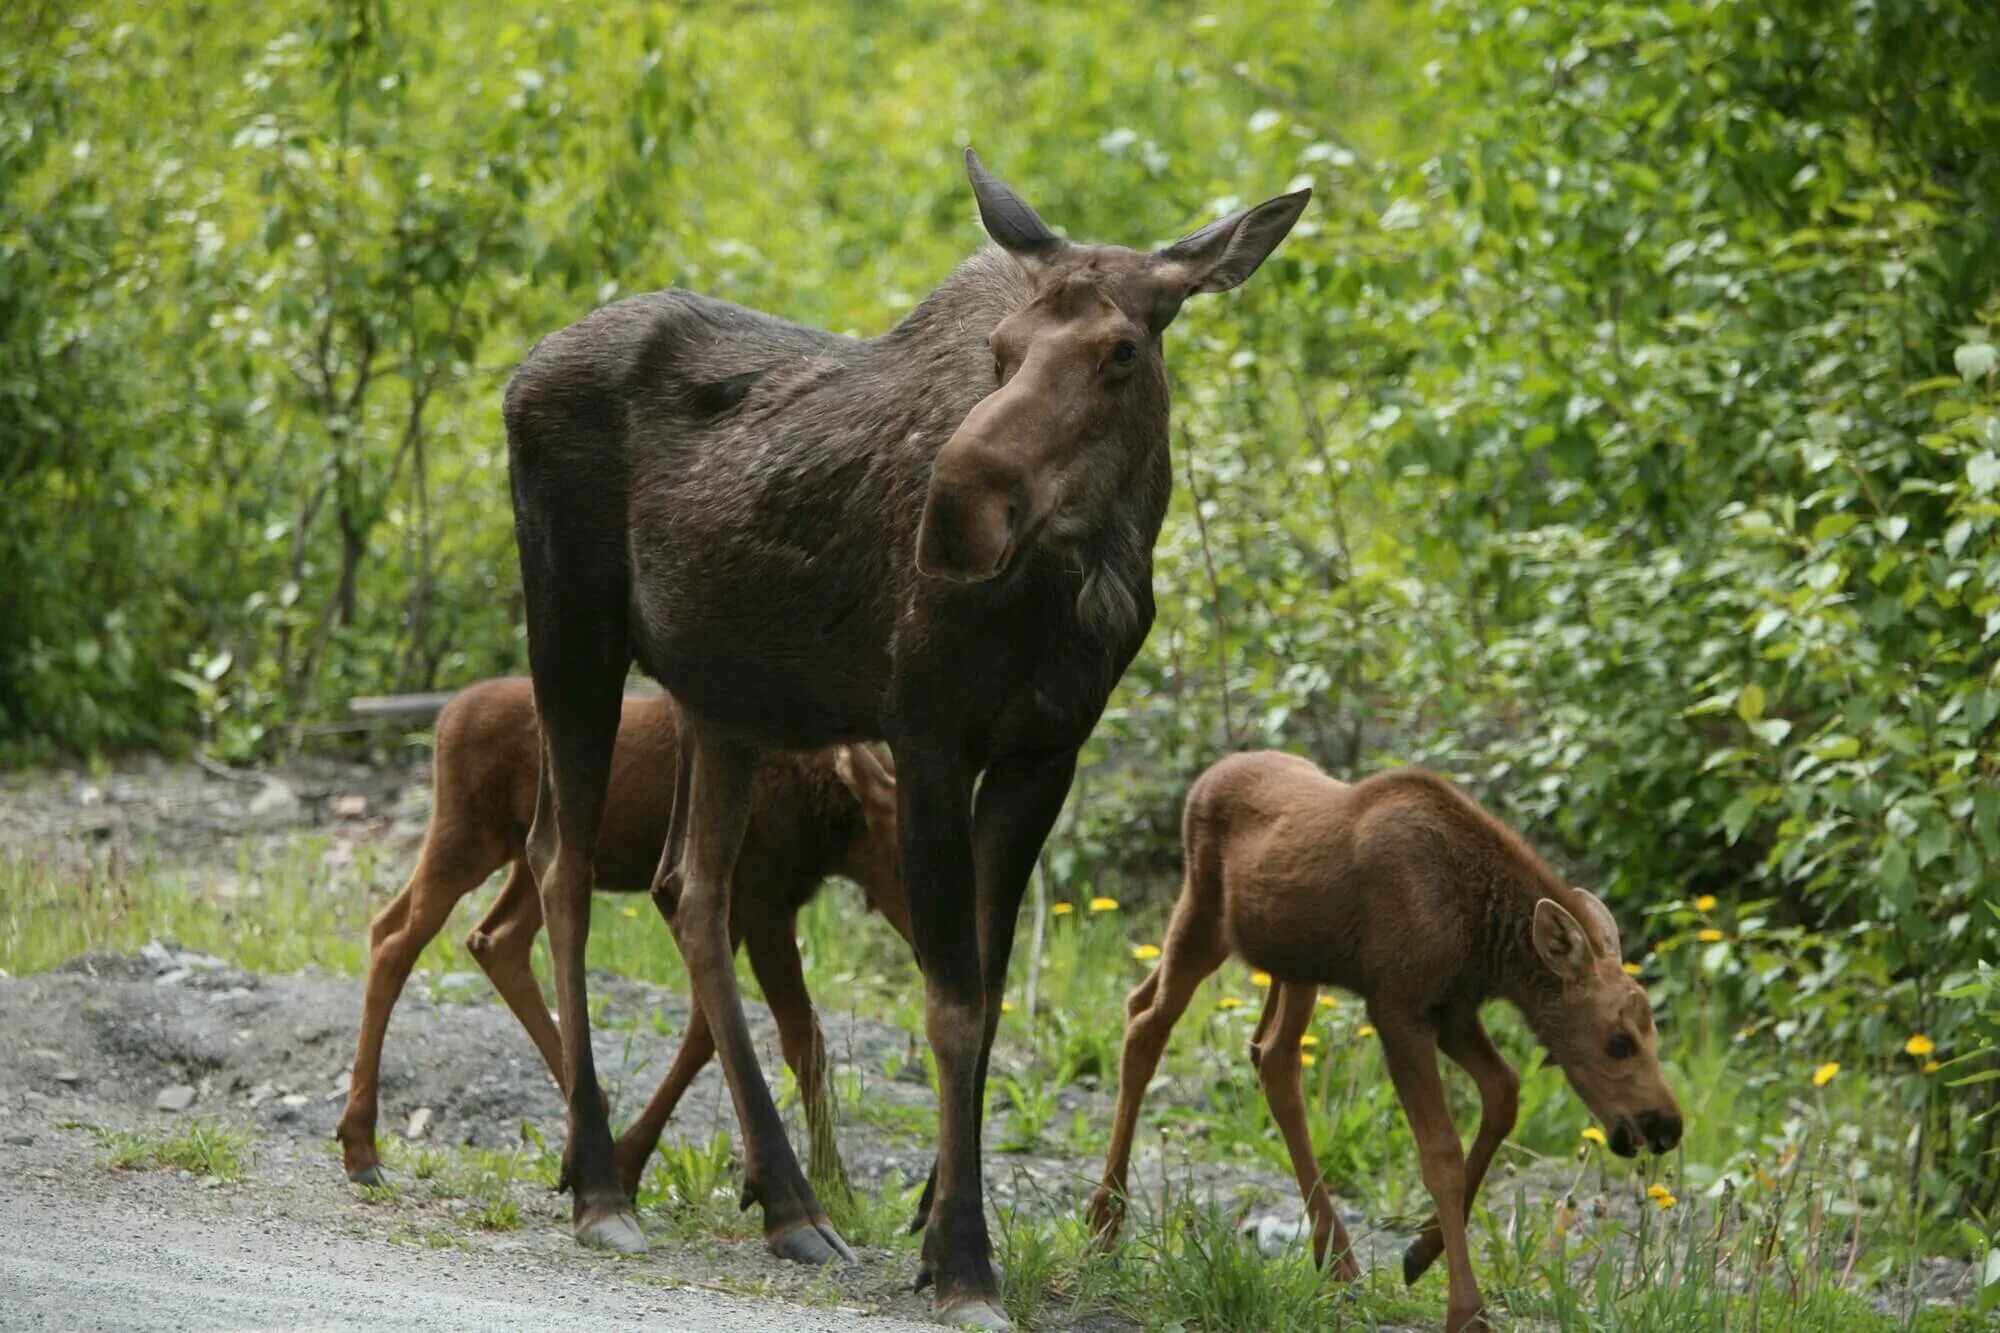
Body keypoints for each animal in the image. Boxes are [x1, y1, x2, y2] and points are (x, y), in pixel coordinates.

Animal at [336, 676, 916, 1192]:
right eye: (904, 861)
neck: (831, 820)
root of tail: (444, 719)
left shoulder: (743, 908)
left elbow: (708, 1029)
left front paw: (630, 1159)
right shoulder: (763, 903)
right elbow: (799, 1037)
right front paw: (834, 1184)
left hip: (527, 859)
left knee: (487, 938)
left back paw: (588, 1116)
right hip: (469, 835)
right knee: (396, 938)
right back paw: (361, 1145)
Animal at [508, 148, 1304, 1320]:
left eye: (1120, 351)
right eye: (1001, 350)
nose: (955, 512)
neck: (1084, 584)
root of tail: (519, 372)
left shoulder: (1042, 754)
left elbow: (988, 980)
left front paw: (935, 1221)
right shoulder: (926, 736)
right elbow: (954, 1000)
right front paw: (963, 1256)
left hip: (721, 698)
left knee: (687, 890)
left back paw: (785, 1200)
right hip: (572, 629)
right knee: (561, 864)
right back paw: (602, 1182)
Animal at [1088, 752, 1680, 1320]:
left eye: (1653, 1032)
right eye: (1618, 1041)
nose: (1667, 1126)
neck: (1484, 943)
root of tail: (1203, 781)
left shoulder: (1453, 1012)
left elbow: (1505, 1091)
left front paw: (1420, 1252)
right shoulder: (1399, 1009)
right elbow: (1439, 1155)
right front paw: (1465, 1308)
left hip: (1293, 963)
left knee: (1259, 1051)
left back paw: (1334, 1255)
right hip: (1202, 914)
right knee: (1148, 1024)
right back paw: (1105, 1219)